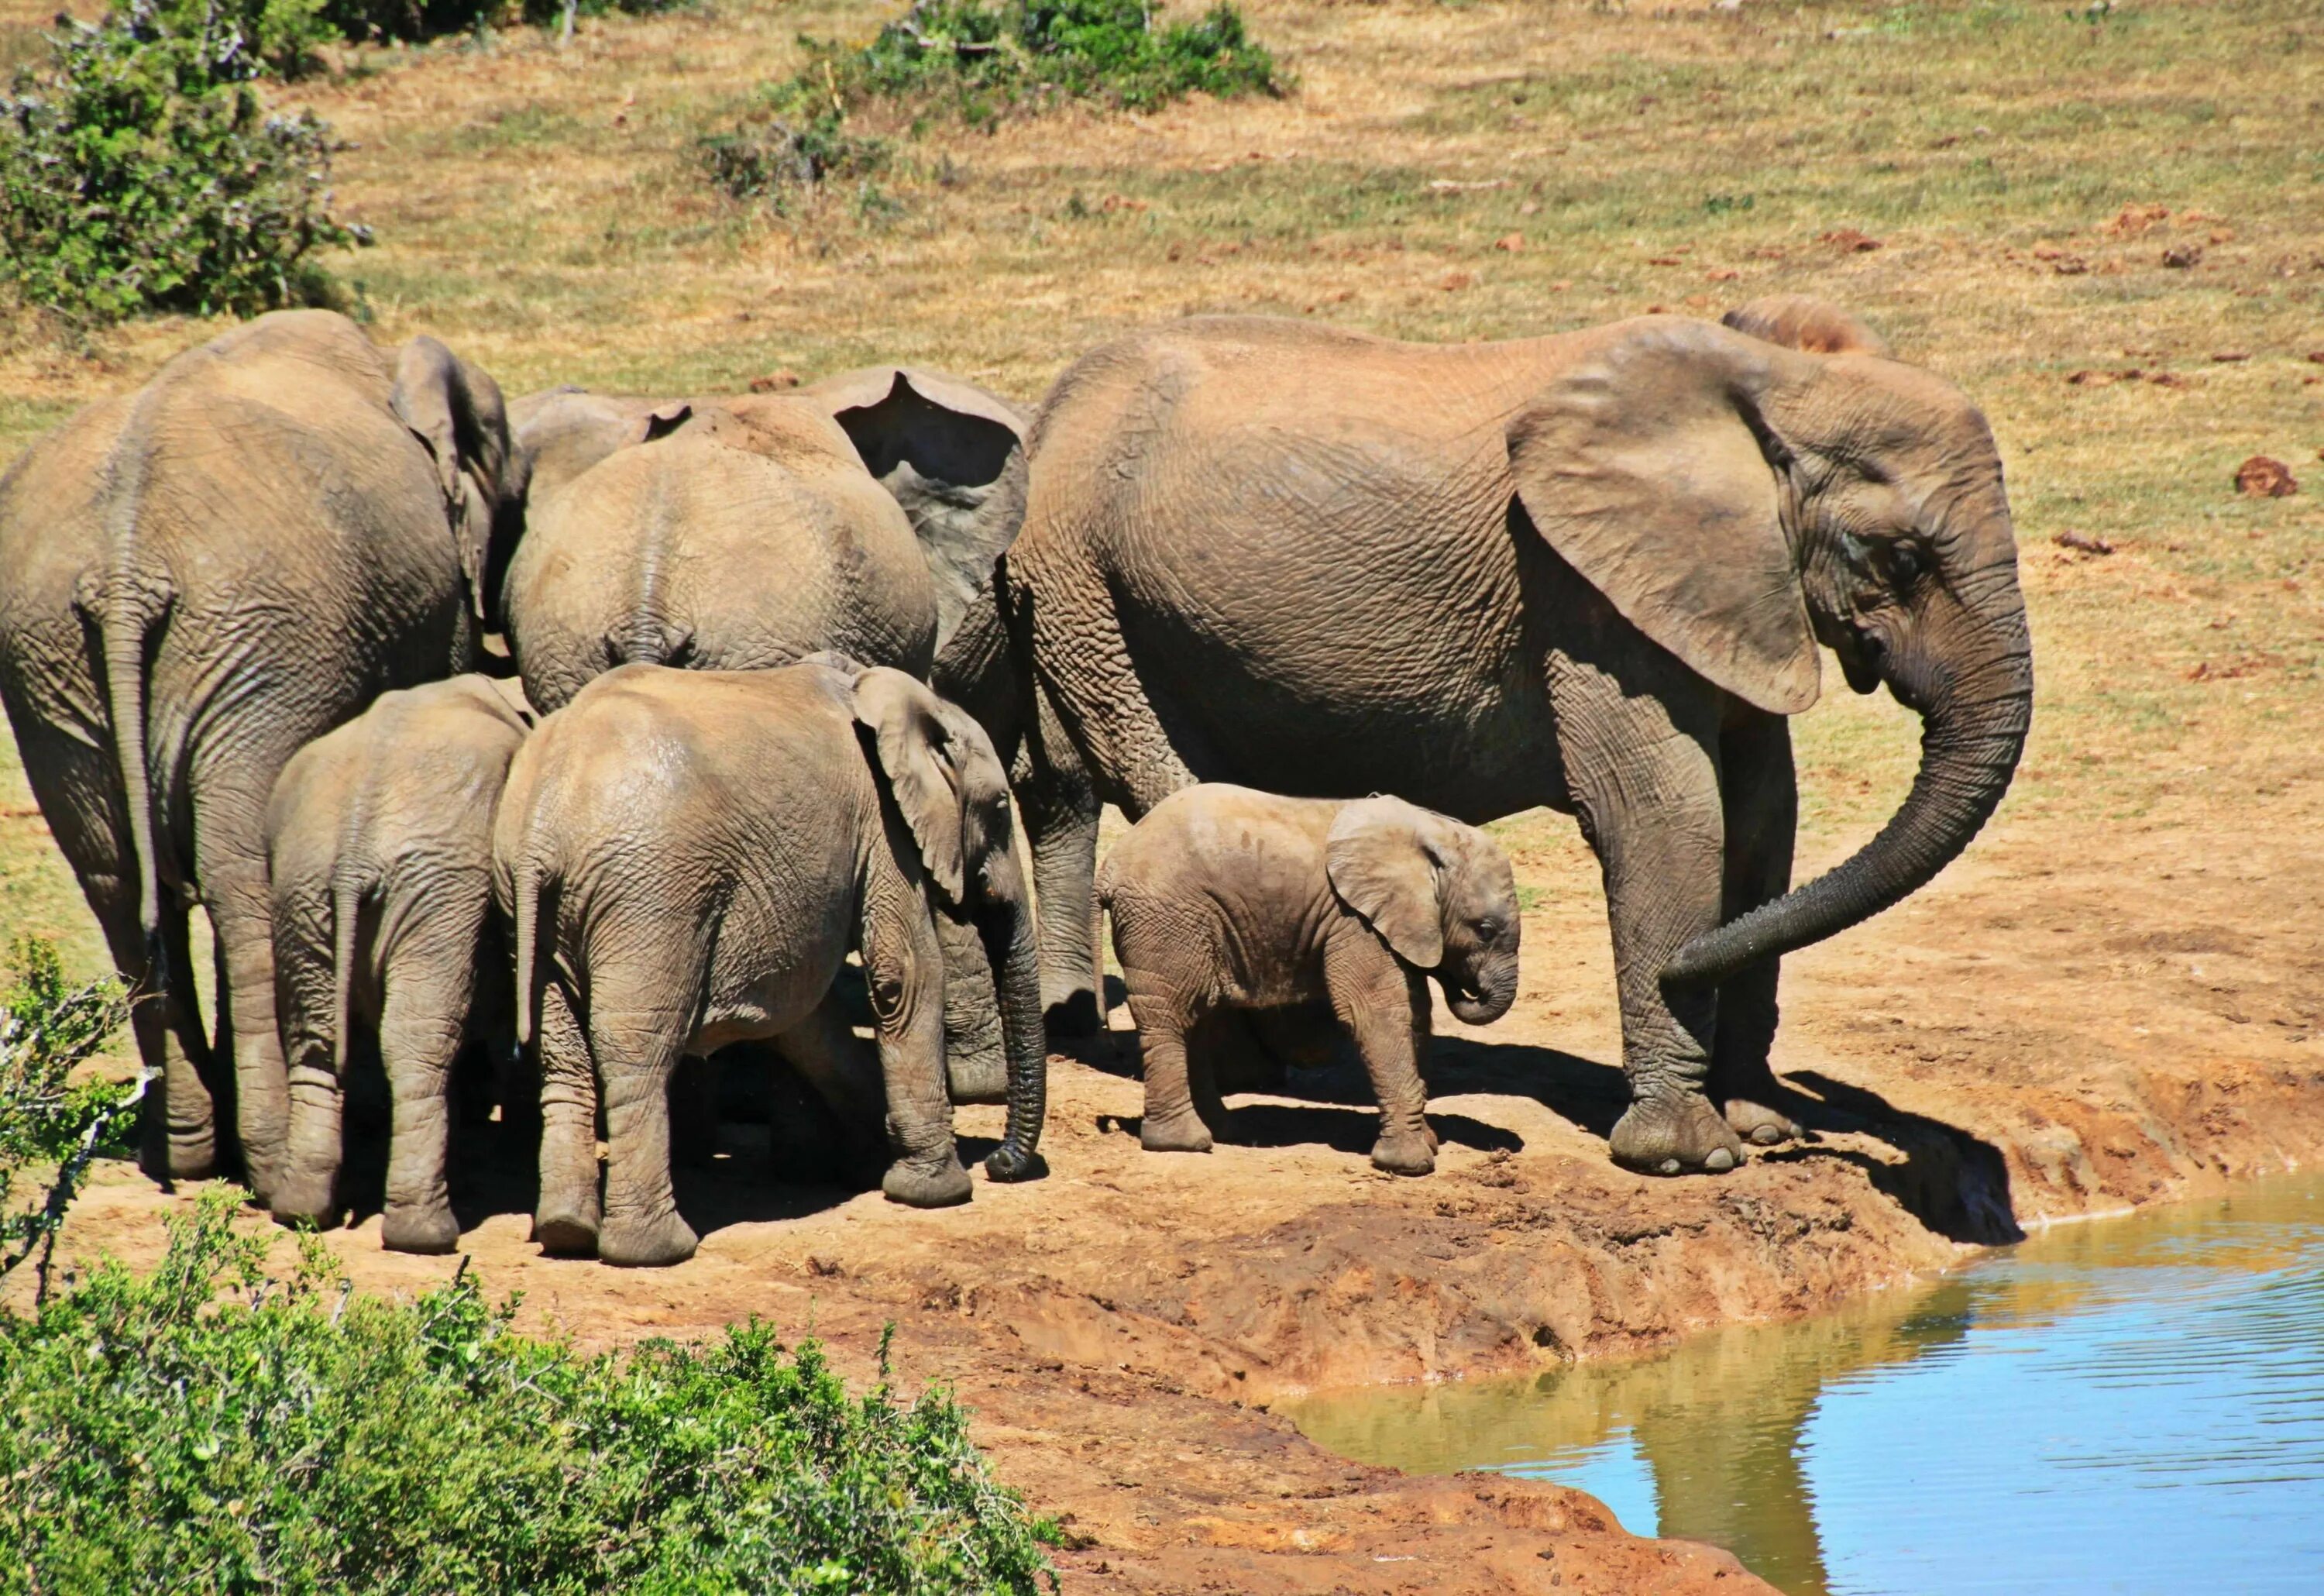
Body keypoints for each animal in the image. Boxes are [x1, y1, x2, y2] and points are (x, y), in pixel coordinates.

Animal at [0, 308, 518, 1199]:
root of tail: (123, 569)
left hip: (55, 664)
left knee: (119, 886)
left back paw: (183, 1152)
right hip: (262, 649)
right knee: (241, 882)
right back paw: (272, 1167)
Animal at [495, 655, 1050, 1264]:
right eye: (1000, 810)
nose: (1001, 1164)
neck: (899, 698)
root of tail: (543, 826)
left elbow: (807, 1018)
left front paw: (866, 1164)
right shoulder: (883, 827)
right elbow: (904, 977)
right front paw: (937, 1193)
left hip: (531, 904)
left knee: (563, 1056)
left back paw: (565, 1232)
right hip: (649, 898)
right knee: (637, 1052)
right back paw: (655, 1251)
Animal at [1102, 785, 1525, 1175]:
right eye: (1484, 931)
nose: (1459, 983)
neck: (1432, 832)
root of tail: (1111, 864)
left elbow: (1416, 1013)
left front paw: (1429, 1142)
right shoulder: (1354, 920)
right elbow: (1376, 1014)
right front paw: (1411, 1165)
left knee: (1197, 1017)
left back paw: (1224, 1131)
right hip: (1165, 919)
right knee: (1172, 1015)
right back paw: (1183, 1142)